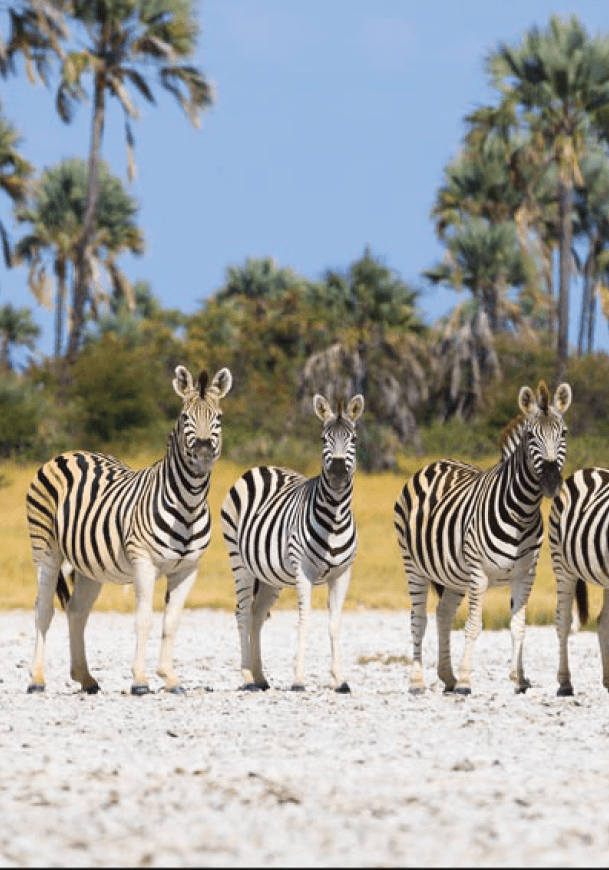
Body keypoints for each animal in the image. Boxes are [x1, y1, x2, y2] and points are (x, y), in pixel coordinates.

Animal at [25, 364, 232, 695]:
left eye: (219, 418)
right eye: (184, 417)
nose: (202, 456)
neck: (188, 504)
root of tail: (68, 453)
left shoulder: (188, 569)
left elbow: (172, 622)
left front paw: (170, 678)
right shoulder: (143, 562)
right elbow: (144, 619)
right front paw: (140, 681)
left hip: (88, 565)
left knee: (76, 611)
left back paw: (85, 678)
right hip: (46, 550)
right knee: (43, 609)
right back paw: (37, 680)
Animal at [220, 392, 364, 692]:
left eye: (354, 439)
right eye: (323, 439)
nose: (337, 473)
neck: (334, 517)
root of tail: (262, 467)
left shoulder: (342, 573)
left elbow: (335, 624)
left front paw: (339, 679)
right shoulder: (304, 572)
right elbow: (304, 621)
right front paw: (298, 679)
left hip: (270, 575)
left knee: (257, 615)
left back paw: (260, 676)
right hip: (239, 562)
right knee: (242, 613)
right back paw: (247, 677)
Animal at [394, 380, 572, 695]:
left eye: (563, 433)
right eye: (530, 435)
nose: (551, 481)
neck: (521, 511)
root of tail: (435, 463)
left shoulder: (525, 575)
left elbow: (519, 627)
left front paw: (519, 680)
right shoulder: (479, 574)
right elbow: (474, 626)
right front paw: (467, 681)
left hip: (453, 575)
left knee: (443, 614)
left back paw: (448, 677)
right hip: (413, 565)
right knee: (418, 619)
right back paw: (418, 682)